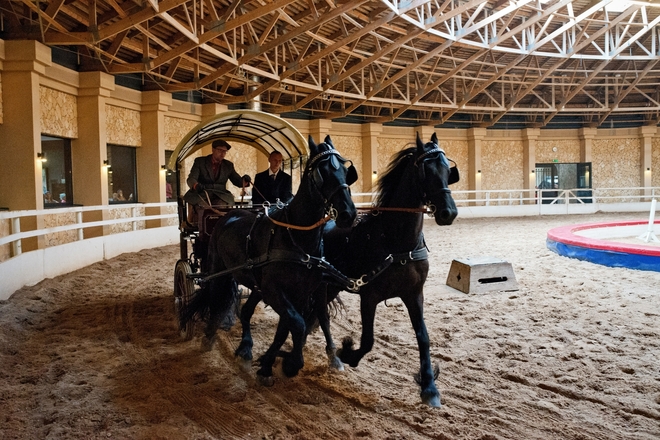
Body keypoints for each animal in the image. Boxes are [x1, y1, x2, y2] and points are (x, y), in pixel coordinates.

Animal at [179, 135, 356, 384]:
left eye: (345, 170)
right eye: (321, 172)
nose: (349, 214)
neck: (296, 238)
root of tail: (228, 213)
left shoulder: (298, 292)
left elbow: (291, 326)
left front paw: (269, 363)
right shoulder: (275, 291)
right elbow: (297, 324)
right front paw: (290, 364)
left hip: (254, 281)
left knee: (244, 311)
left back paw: (245, 348)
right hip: (216, 270)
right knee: (214, 298)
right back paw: (209, 335)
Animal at [322, 132, 456, 408]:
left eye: (448, 170)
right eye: (426, 171)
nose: (449, 213)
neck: (396, 243)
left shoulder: (414, 294)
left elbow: (423, 338)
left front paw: (429, 388)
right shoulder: (368, 296)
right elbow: (368, 340)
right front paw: (347, 352)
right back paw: (333, 355)